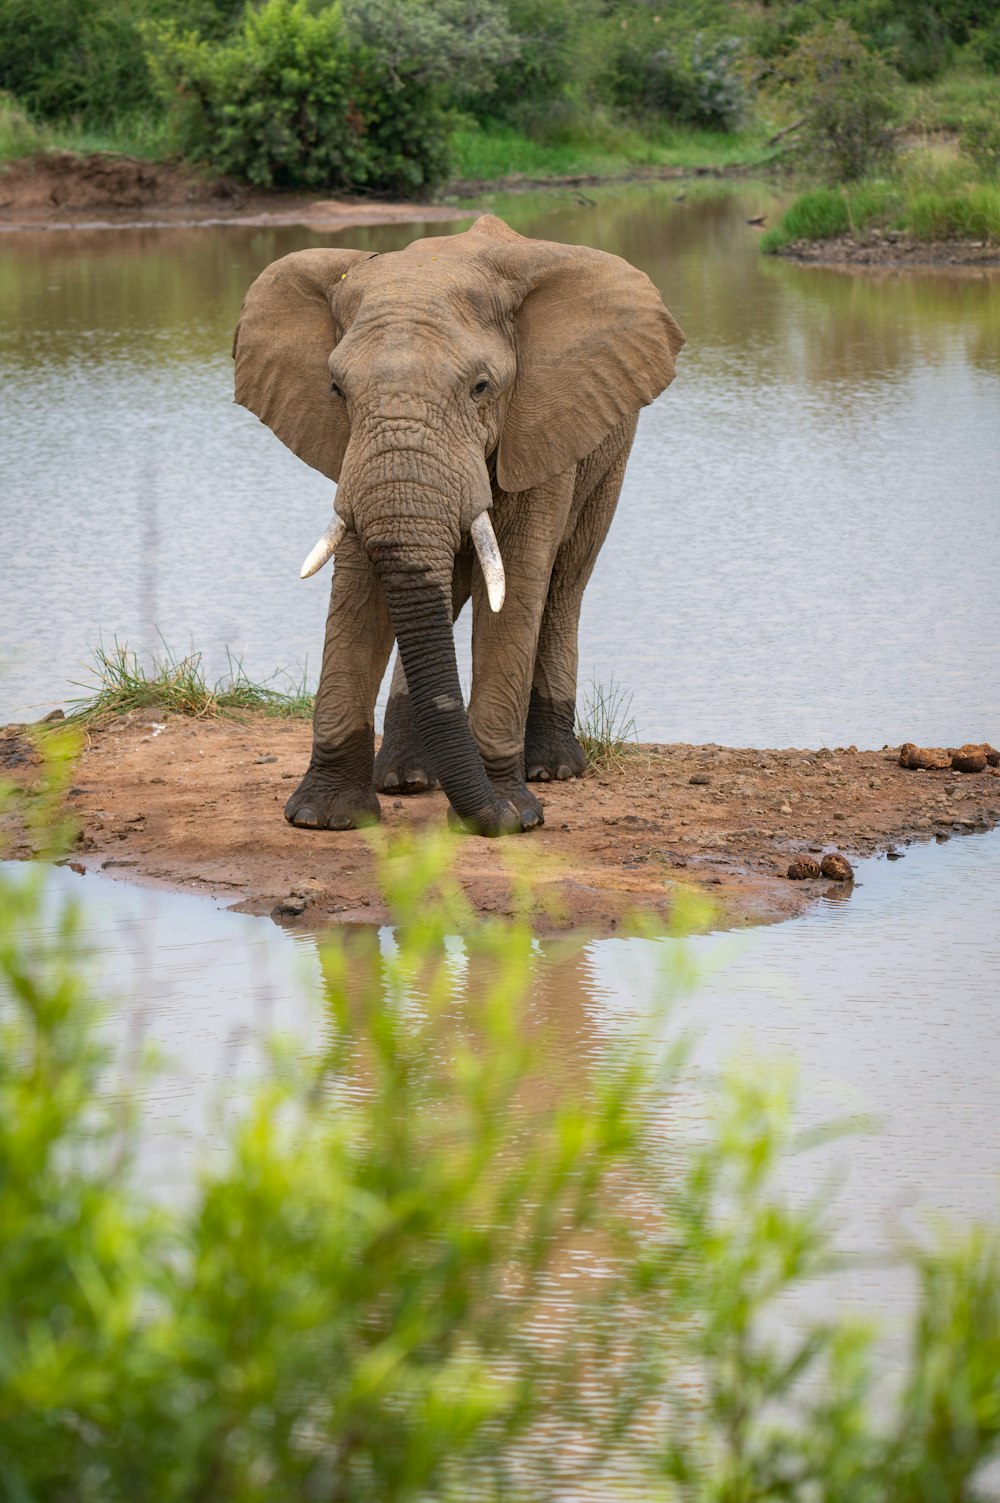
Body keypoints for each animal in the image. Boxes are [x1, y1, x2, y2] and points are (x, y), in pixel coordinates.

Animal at [234, 214, 682, 835]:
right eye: (336, 390)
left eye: (481, 388)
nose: (491, 816)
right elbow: (358, 589)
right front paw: (322, 818)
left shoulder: (539, 426)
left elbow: (517, 587)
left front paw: (512, 816)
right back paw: (404, 779)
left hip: (610, 448)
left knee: (565, 584)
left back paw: (551, 769)